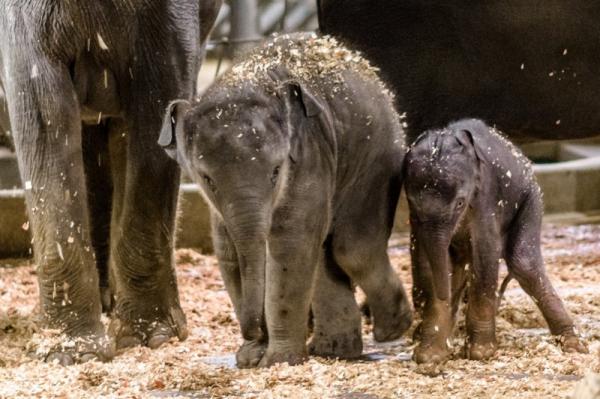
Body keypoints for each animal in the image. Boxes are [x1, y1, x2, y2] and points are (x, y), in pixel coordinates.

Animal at [159, 33, 412, 368]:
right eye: (207, 179)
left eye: (276, 171)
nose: (253, 333)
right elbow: (228, 250)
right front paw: (253, 356)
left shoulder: (308, 155)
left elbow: (291, 242)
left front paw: (277, 360)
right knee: (326, 250)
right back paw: (335, 349)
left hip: (378, 159)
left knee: (352, 248)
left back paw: (390, 329)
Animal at [406, 119, 588, 366]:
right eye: (413, 205)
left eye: (460, 203)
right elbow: (425, 261)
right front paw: (430, 355)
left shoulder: (486, 197)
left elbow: (485, 252)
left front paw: (481, 353)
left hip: (532, 199)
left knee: (524, 264)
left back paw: (573, 344)